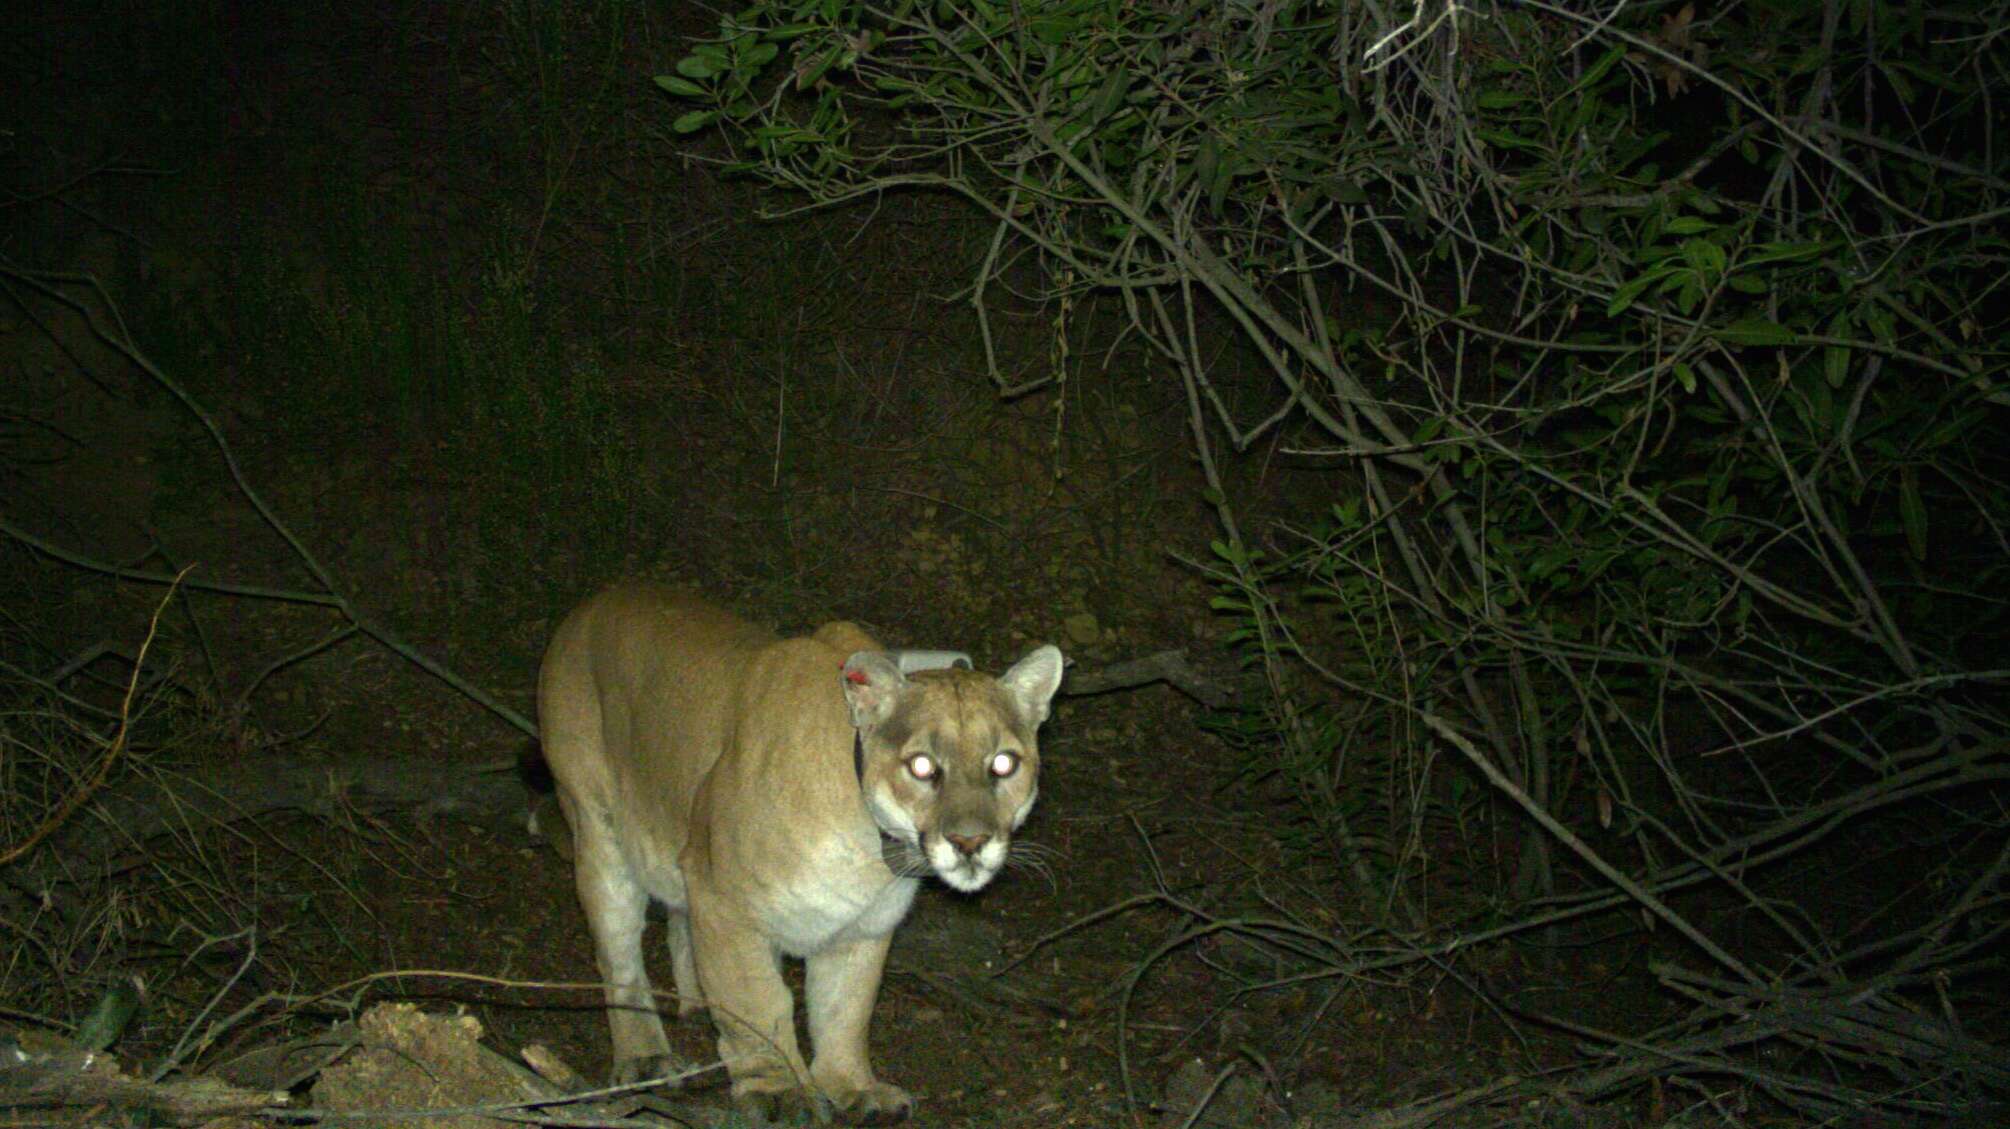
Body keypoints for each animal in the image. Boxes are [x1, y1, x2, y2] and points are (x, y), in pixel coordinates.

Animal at [534, 582, 1069, 1116]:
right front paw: (779, 1090)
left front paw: (852, 1086)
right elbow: (759, 999)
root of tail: (600, 598)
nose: (970, 841)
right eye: (921, 766)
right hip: (596, 825)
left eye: (1004, 763)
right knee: (618, 950)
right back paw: (646, 1058)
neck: (869, 850)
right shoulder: (724, 903)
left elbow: (845, 1008)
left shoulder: (863, 926)